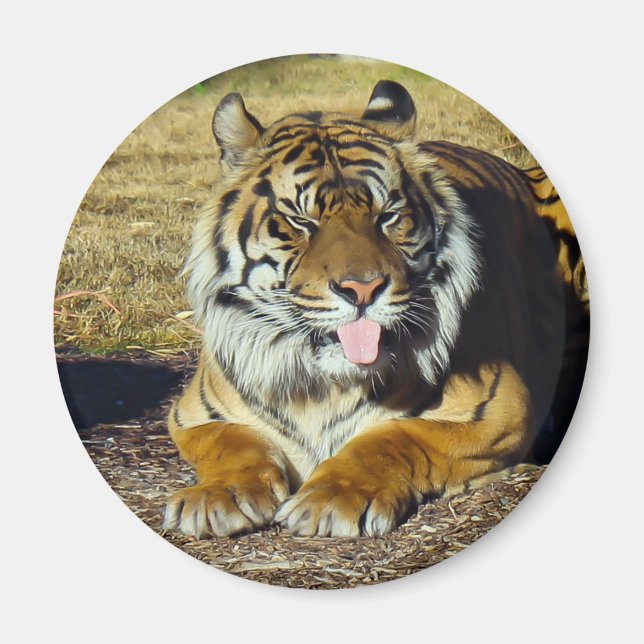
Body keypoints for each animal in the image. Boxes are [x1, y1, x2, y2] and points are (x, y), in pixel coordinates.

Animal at [163, 80, 589, 539]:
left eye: (388, 217)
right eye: (301, 222)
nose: (363, 289)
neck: (321, 387)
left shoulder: (504, 408)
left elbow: (395, 435)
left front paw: (332, 498)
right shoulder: (192, 416)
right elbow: (233, 441)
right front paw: (213, 497)